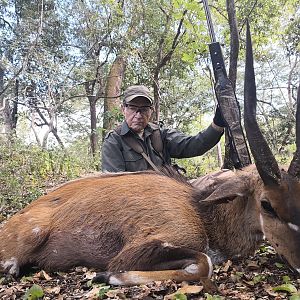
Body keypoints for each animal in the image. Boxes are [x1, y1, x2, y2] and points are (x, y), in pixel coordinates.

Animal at [0, 22, 298, 286]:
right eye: (266, 204)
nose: (297, 263)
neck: (202, 211)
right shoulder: (144, 247)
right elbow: (204, 263)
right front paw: (106, 276)